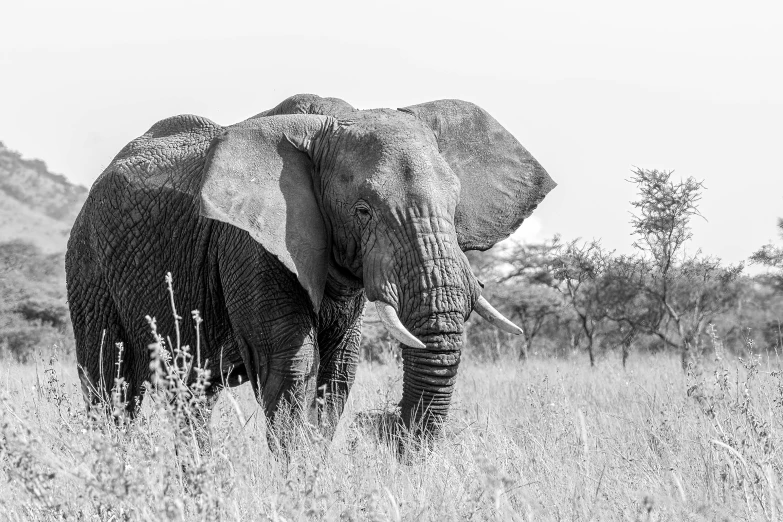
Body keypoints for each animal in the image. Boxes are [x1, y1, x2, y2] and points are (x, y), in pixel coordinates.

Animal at [67, 93, 556, 442]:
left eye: (455, 207)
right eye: (363, 211)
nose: (392, 435)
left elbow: (338, 372)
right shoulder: (249, 246)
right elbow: (289, 368)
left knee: (191, 393)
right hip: (88, 262)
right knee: (111, 386)